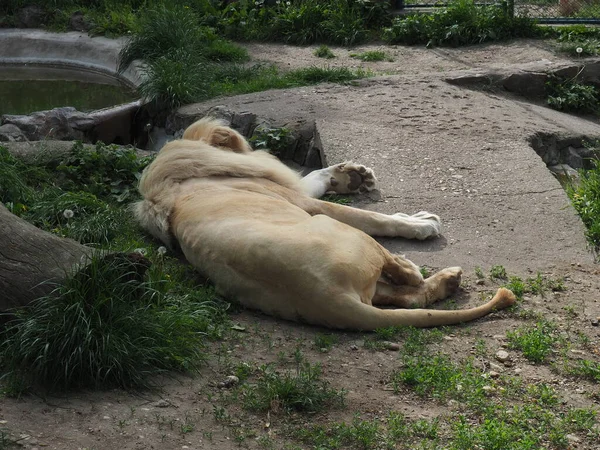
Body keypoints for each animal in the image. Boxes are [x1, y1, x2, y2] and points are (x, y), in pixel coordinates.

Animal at [136, 118, 516, 330]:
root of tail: (329, 300)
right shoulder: (302, 201)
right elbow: (370, 216)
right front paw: (420, 223)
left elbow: (313, 176)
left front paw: (352, 175)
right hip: (338, 231)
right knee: (402, 275)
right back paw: (415, 264)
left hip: (363, 286)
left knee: (409, 299)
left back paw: (448, 281)